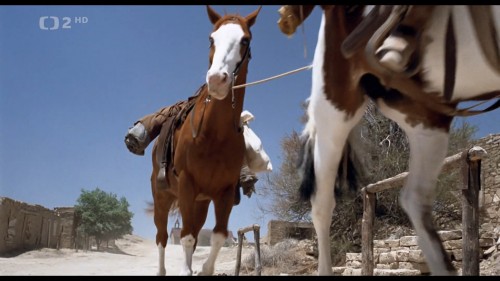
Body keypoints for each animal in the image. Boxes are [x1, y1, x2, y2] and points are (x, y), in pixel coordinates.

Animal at [149, 5, 262, 274]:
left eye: (245, 40)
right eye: (211, 39)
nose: (217, 80)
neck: (214, 135)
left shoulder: (224, 192)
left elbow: (219, 235)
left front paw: (203, 269)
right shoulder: (187, 185)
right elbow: (187, 237)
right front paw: (187, 269)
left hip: (200, 202)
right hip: (163, 198)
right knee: (162, 237)